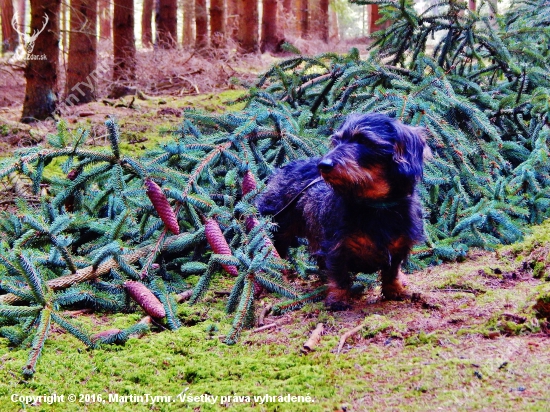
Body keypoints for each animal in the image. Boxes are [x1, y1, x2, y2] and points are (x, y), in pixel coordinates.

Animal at [256, 112, 434, 308]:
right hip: (277, 227)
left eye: (363, 140)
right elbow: (338, 273)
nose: (323, 165)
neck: (374, 205)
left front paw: (394, 290)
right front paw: (338, 299)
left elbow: (392, 271)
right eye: (337, 141)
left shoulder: (398, 246)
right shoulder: (335, 246)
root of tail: (282, 169)